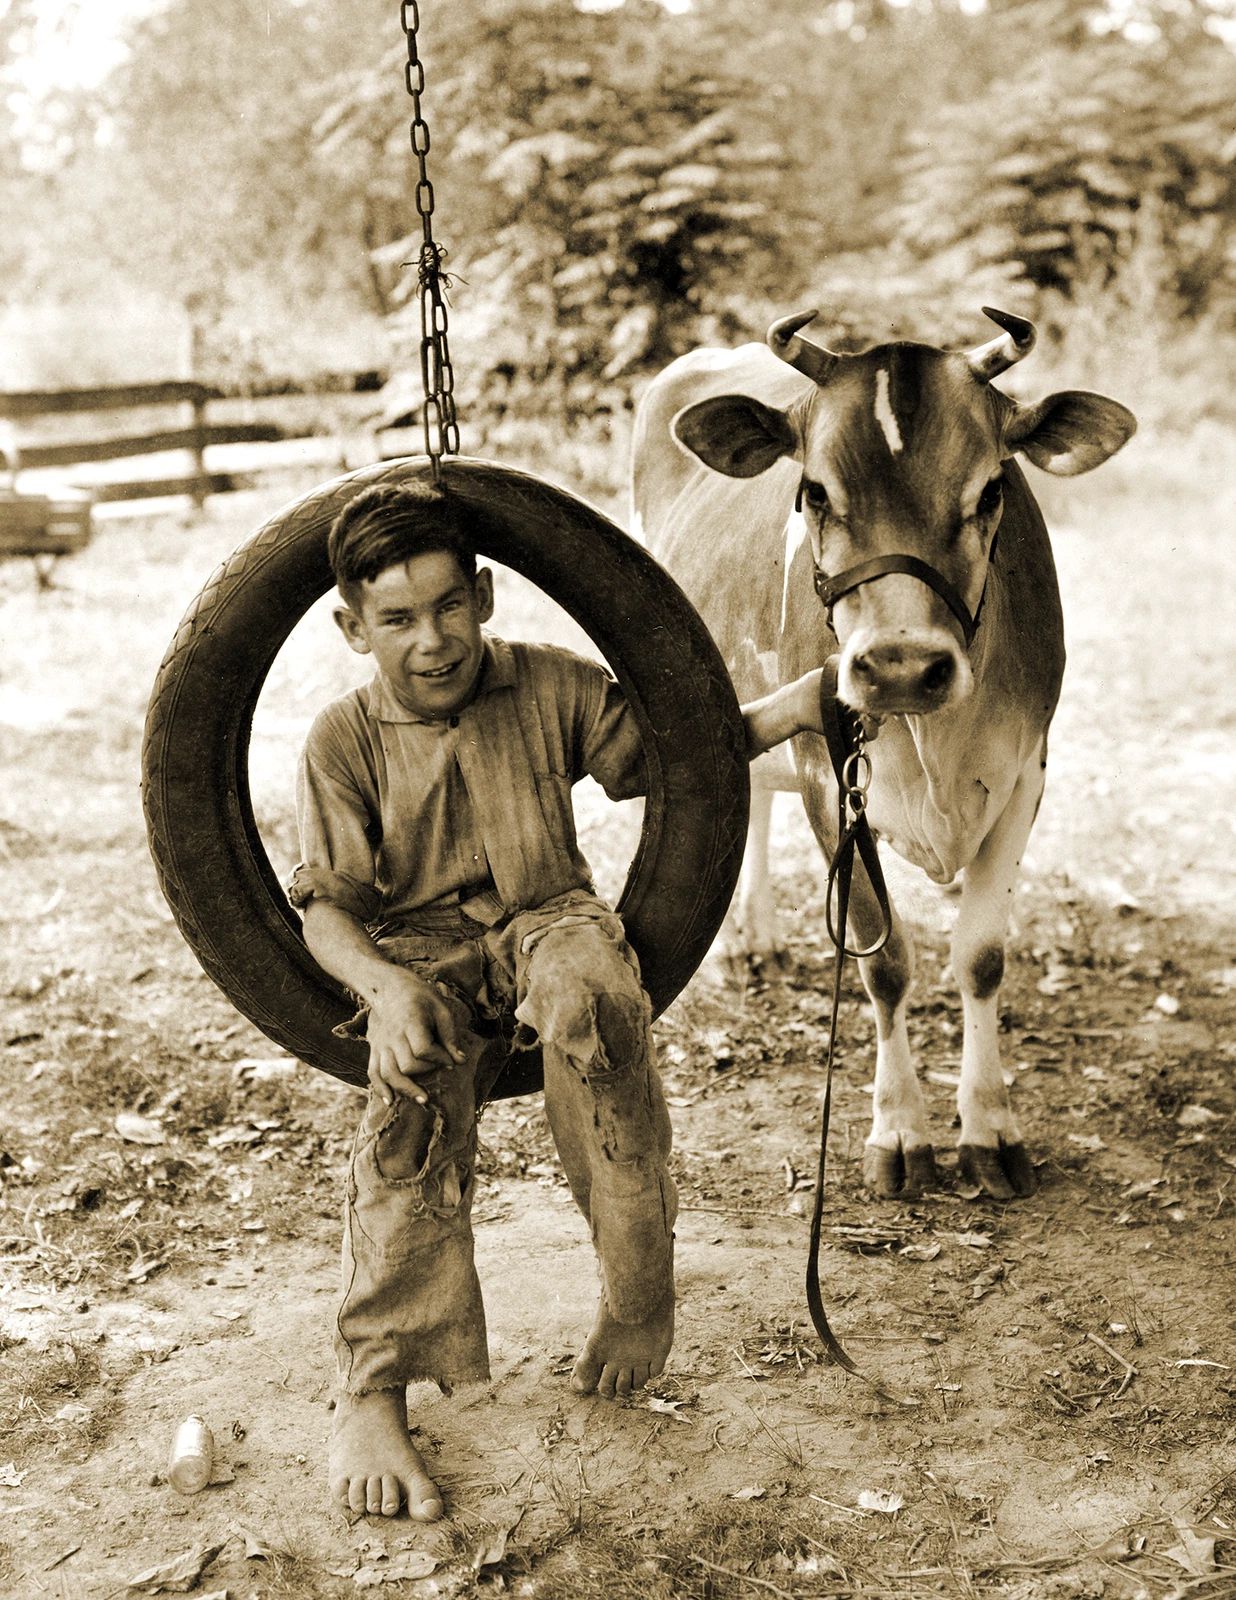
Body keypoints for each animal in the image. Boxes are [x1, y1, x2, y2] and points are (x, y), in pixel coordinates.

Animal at [632, 308, 1136, 1201]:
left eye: (992, 490)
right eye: (813, 492)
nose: (901, 666)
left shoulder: (1024, 774)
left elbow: (981, 957)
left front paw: (989, 1128)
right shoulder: (829, 774)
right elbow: (886, 962)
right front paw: (899, 1131)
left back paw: (760, 936)